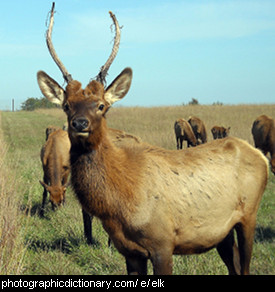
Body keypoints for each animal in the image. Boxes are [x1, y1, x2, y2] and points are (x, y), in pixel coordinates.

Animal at [36, 3, 270, 274]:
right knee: (234, 264)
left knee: (245, 264)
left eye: (101, 105)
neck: (120, 204)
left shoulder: (162, 242)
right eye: (66, 105)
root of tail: (260, 157)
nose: (80, 123)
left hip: (249, 214)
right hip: (222, 232)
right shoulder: (129, 250)